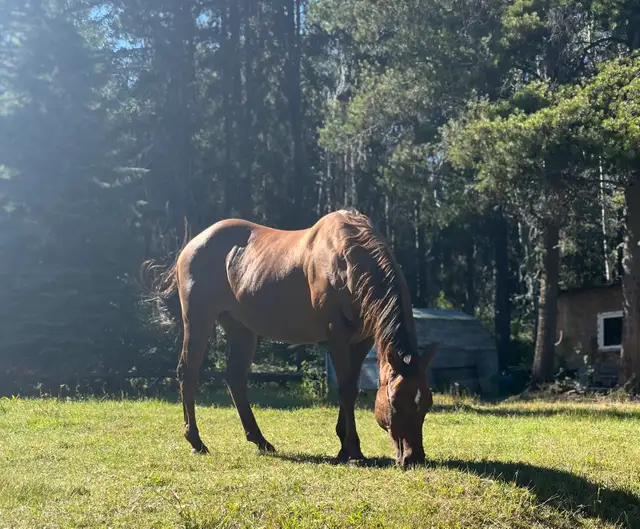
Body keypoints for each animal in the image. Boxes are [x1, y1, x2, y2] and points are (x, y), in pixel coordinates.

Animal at [142, 209, 437, 467]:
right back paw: (196, 441)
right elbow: (345, 389)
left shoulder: (361, 341)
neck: (347, 260)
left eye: (427, 403)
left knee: (235, 378)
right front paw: (352, 450)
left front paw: (345, 446)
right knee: (188, 373)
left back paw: (260, 441)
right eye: (394, 403)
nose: (414, 457)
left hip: (241, 329)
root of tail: (192, 245)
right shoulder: (337, 336)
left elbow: (351, 388)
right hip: (198, 320)